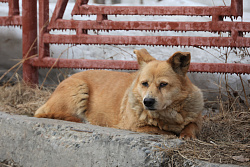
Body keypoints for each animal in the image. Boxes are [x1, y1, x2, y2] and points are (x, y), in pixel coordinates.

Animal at [34, 48, 203, 138]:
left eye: (163, 84)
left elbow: (191, 126)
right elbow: (161, 131)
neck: (168, 114)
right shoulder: (134, 126)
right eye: (144, 83)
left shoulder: (195, 120)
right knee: (49, 113)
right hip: (79, 89)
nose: (147, 102)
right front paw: (173, 132)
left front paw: (187, 134)